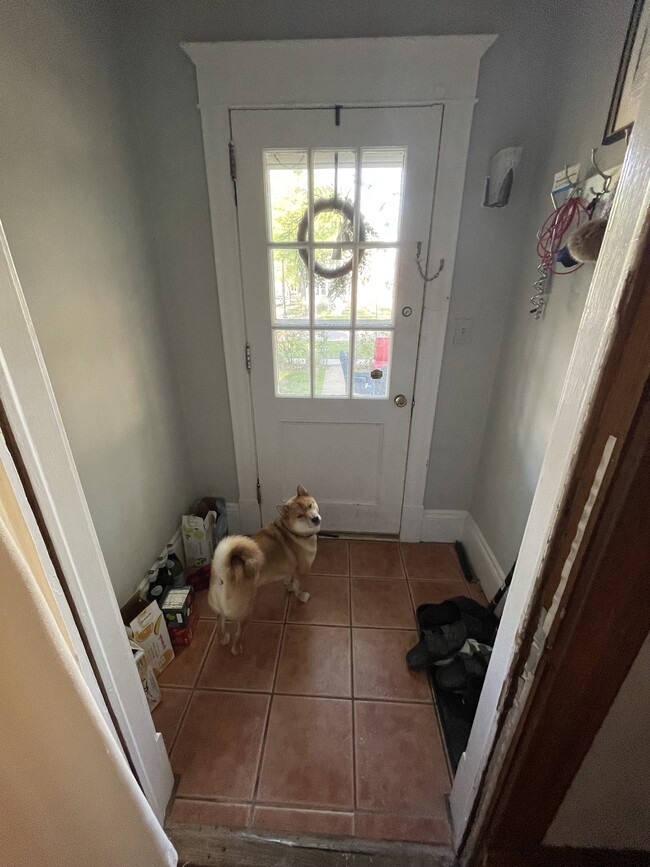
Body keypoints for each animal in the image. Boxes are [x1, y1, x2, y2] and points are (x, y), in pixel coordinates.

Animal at [208, 484, 318, 656]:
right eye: (300, 516)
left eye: (310, 505)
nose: (315, 518)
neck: (292, 532)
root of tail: (224, 574)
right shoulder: (302, 572)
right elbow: (299, 586)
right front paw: (301, 596)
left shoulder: (290, 570)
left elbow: (289, 580)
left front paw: (289, 587)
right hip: (245, 611)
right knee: (238, 634)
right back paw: (237, 649)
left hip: (220, 610)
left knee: (220, 624)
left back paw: (223, 638)